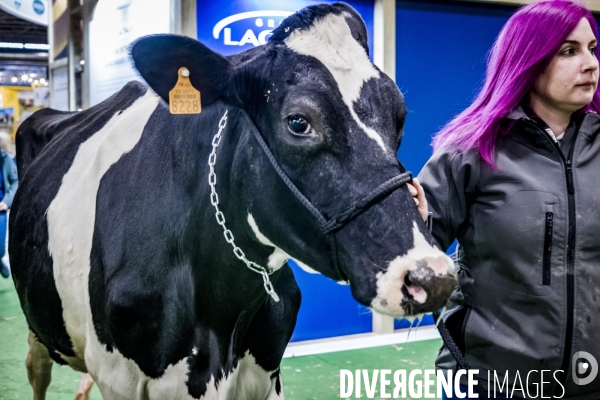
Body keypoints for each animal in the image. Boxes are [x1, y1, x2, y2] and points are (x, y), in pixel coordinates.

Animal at [11, 3, 454, 400]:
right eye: (298, 122)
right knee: (36, 370)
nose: (431, 277)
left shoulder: (265, 374)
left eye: (399, 116)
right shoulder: (121, 379)